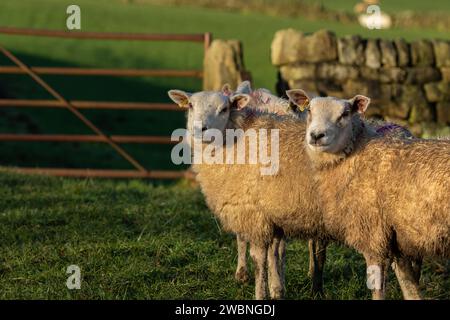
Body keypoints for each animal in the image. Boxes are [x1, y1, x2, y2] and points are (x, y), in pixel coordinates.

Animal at [298, 90, 450, 300]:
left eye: (345, 114)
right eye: (309, 110)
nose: (316, 135)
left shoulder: (374, 236)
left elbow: (379, 287)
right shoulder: (397, 238)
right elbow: (409, 287)